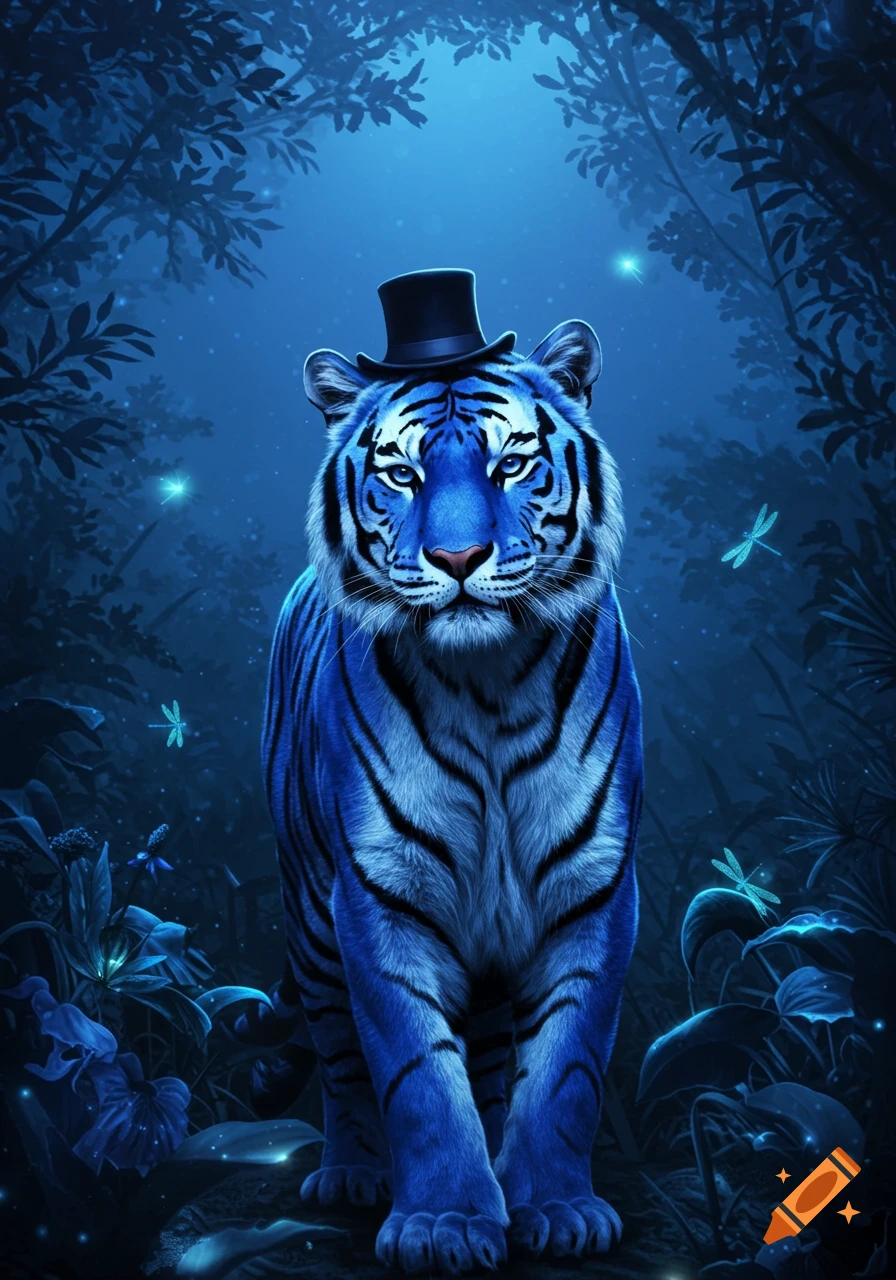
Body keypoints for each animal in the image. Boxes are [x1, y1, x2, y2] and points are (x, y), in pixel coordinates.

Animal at [260, 317, 643, 1275]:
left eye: (511, 464)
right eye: (403, 473)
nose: (460, 558)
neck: (489, 687)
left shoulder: (594, 891)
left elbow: (566, 1067)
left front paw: (558, 1208)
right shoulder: (377, 897)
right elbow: (416, 1074)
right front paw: (443, 1225)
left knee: (502, 1055)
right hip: (308, 921)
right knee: (338, 1055)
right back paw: (352, 1174)